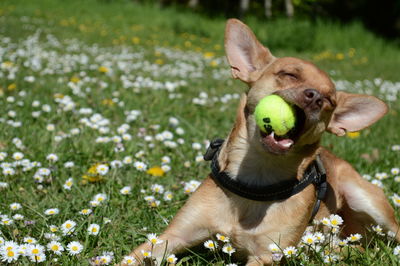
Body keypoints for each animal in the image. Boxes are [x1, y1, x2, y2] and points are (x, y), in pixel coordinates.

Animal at [123, 18, 398, 264]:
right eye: (289, 74)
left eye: (329, 101)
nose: (316, 98)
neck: (257, 177)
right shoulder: (172, 236)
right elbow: (131, 258)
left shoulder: (266, 255)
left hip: (368, 202)